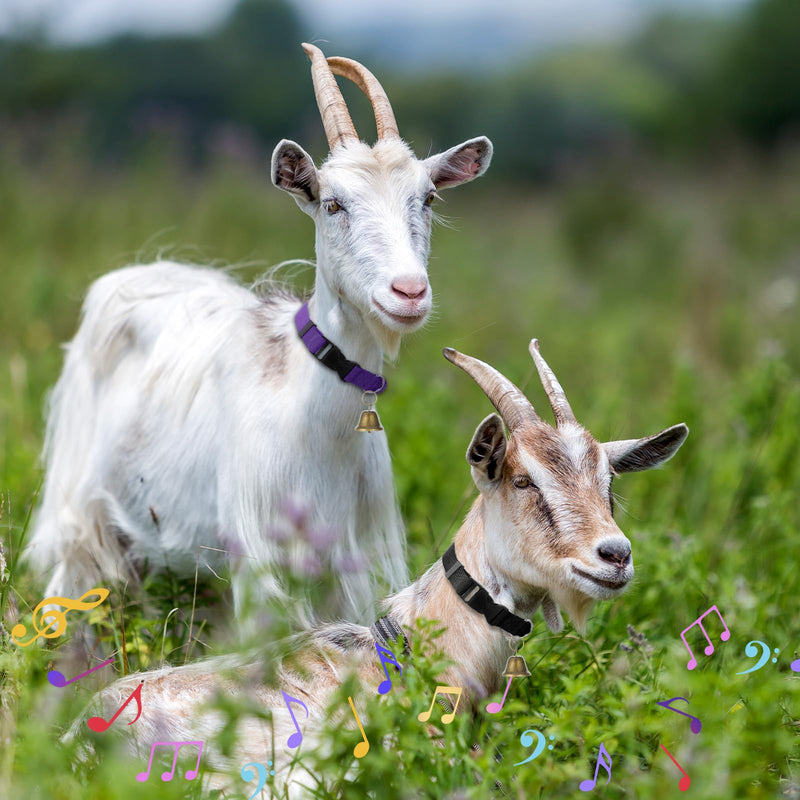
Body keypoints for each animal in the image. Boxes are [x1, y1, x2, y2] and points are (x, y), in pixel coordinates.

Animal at [25, 43, 494, 623]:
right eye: (332, 203)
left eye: (427, 199)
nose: (408, 291)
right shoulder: (258, 554)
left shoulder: (349, 558)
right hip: (76, 503)